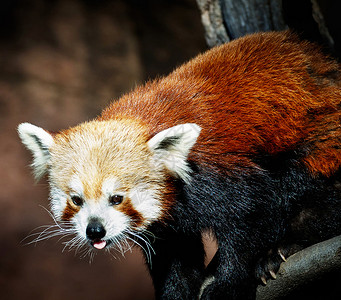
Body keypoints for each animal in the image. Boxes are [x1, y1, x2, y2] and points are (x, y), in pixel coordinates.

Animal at [17, 31, 338, 298]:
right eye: (76, 199)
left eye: (117, 198)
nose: (95, 230)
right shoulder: (167, 225)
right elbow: (175, 256)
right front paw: (177, 291)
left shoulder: (221, 174)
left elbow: (251, 220)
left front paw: (228, 284)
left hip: (320, 138)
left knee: (303, 190)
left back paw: (282, 249)